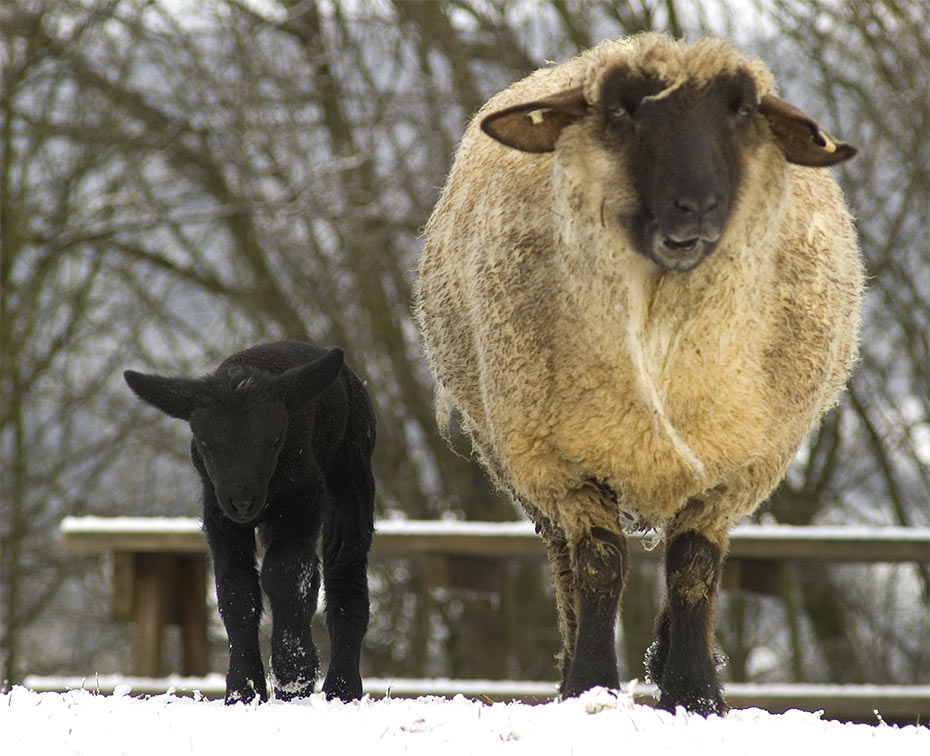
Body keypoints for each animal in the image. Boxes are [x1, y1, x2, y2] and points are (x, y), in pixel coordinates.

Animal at [124, 342, 376, 704]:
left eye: (275, 440)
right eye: (205, 443)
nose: (242, 500)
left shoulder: (302, 498)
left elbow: (287, 577)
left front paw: (293, 676)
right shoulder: (217, 512)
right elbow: (236, 588)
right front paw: (243, 689)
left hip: (351, 467)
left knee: (345, 569)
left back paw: (342, 689)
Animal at [416, 34, 860, 716]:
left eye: (741, 109)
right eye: (621, 112)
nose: (695, 208)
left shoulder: (734, 471)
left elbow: (693, 569)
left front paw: (695, 695)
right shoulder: (561, 468)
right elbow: (600, 568)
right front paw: (591, 685)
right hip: (517, 460)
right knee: (565, 567)